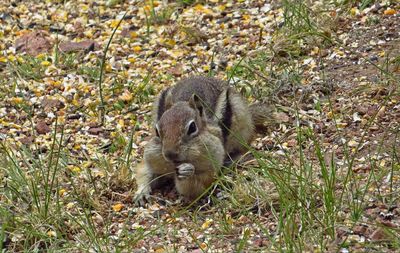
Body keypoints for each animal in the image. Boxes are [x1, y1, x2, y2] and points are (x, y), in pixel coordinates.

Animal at [134, 75, 268, 206]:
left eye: (192, 127)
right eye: (157, 131)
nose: (170, 154)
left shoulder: (211, 167)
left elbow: (198, 186)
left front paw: (187, 170)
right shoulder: (151, 157)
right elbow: (144, 172)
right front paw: (141, 193)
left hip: (241, 125)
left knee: (242, 148)